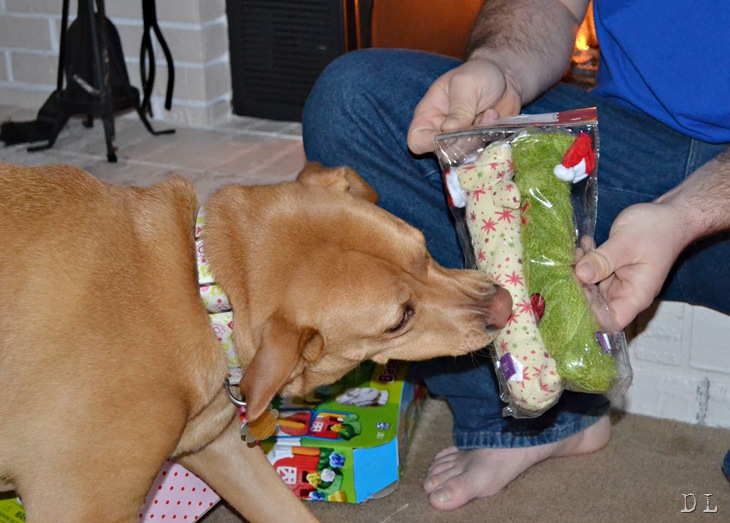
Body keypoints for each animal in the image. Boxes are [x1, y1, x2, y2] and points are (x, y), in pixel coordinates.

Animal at [0, 161, 512, 522]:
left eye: (424, 249)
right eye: (400, 318)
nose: (506, 305)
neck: (203, 296)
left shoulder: (220, 448)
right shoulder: (80, 505)